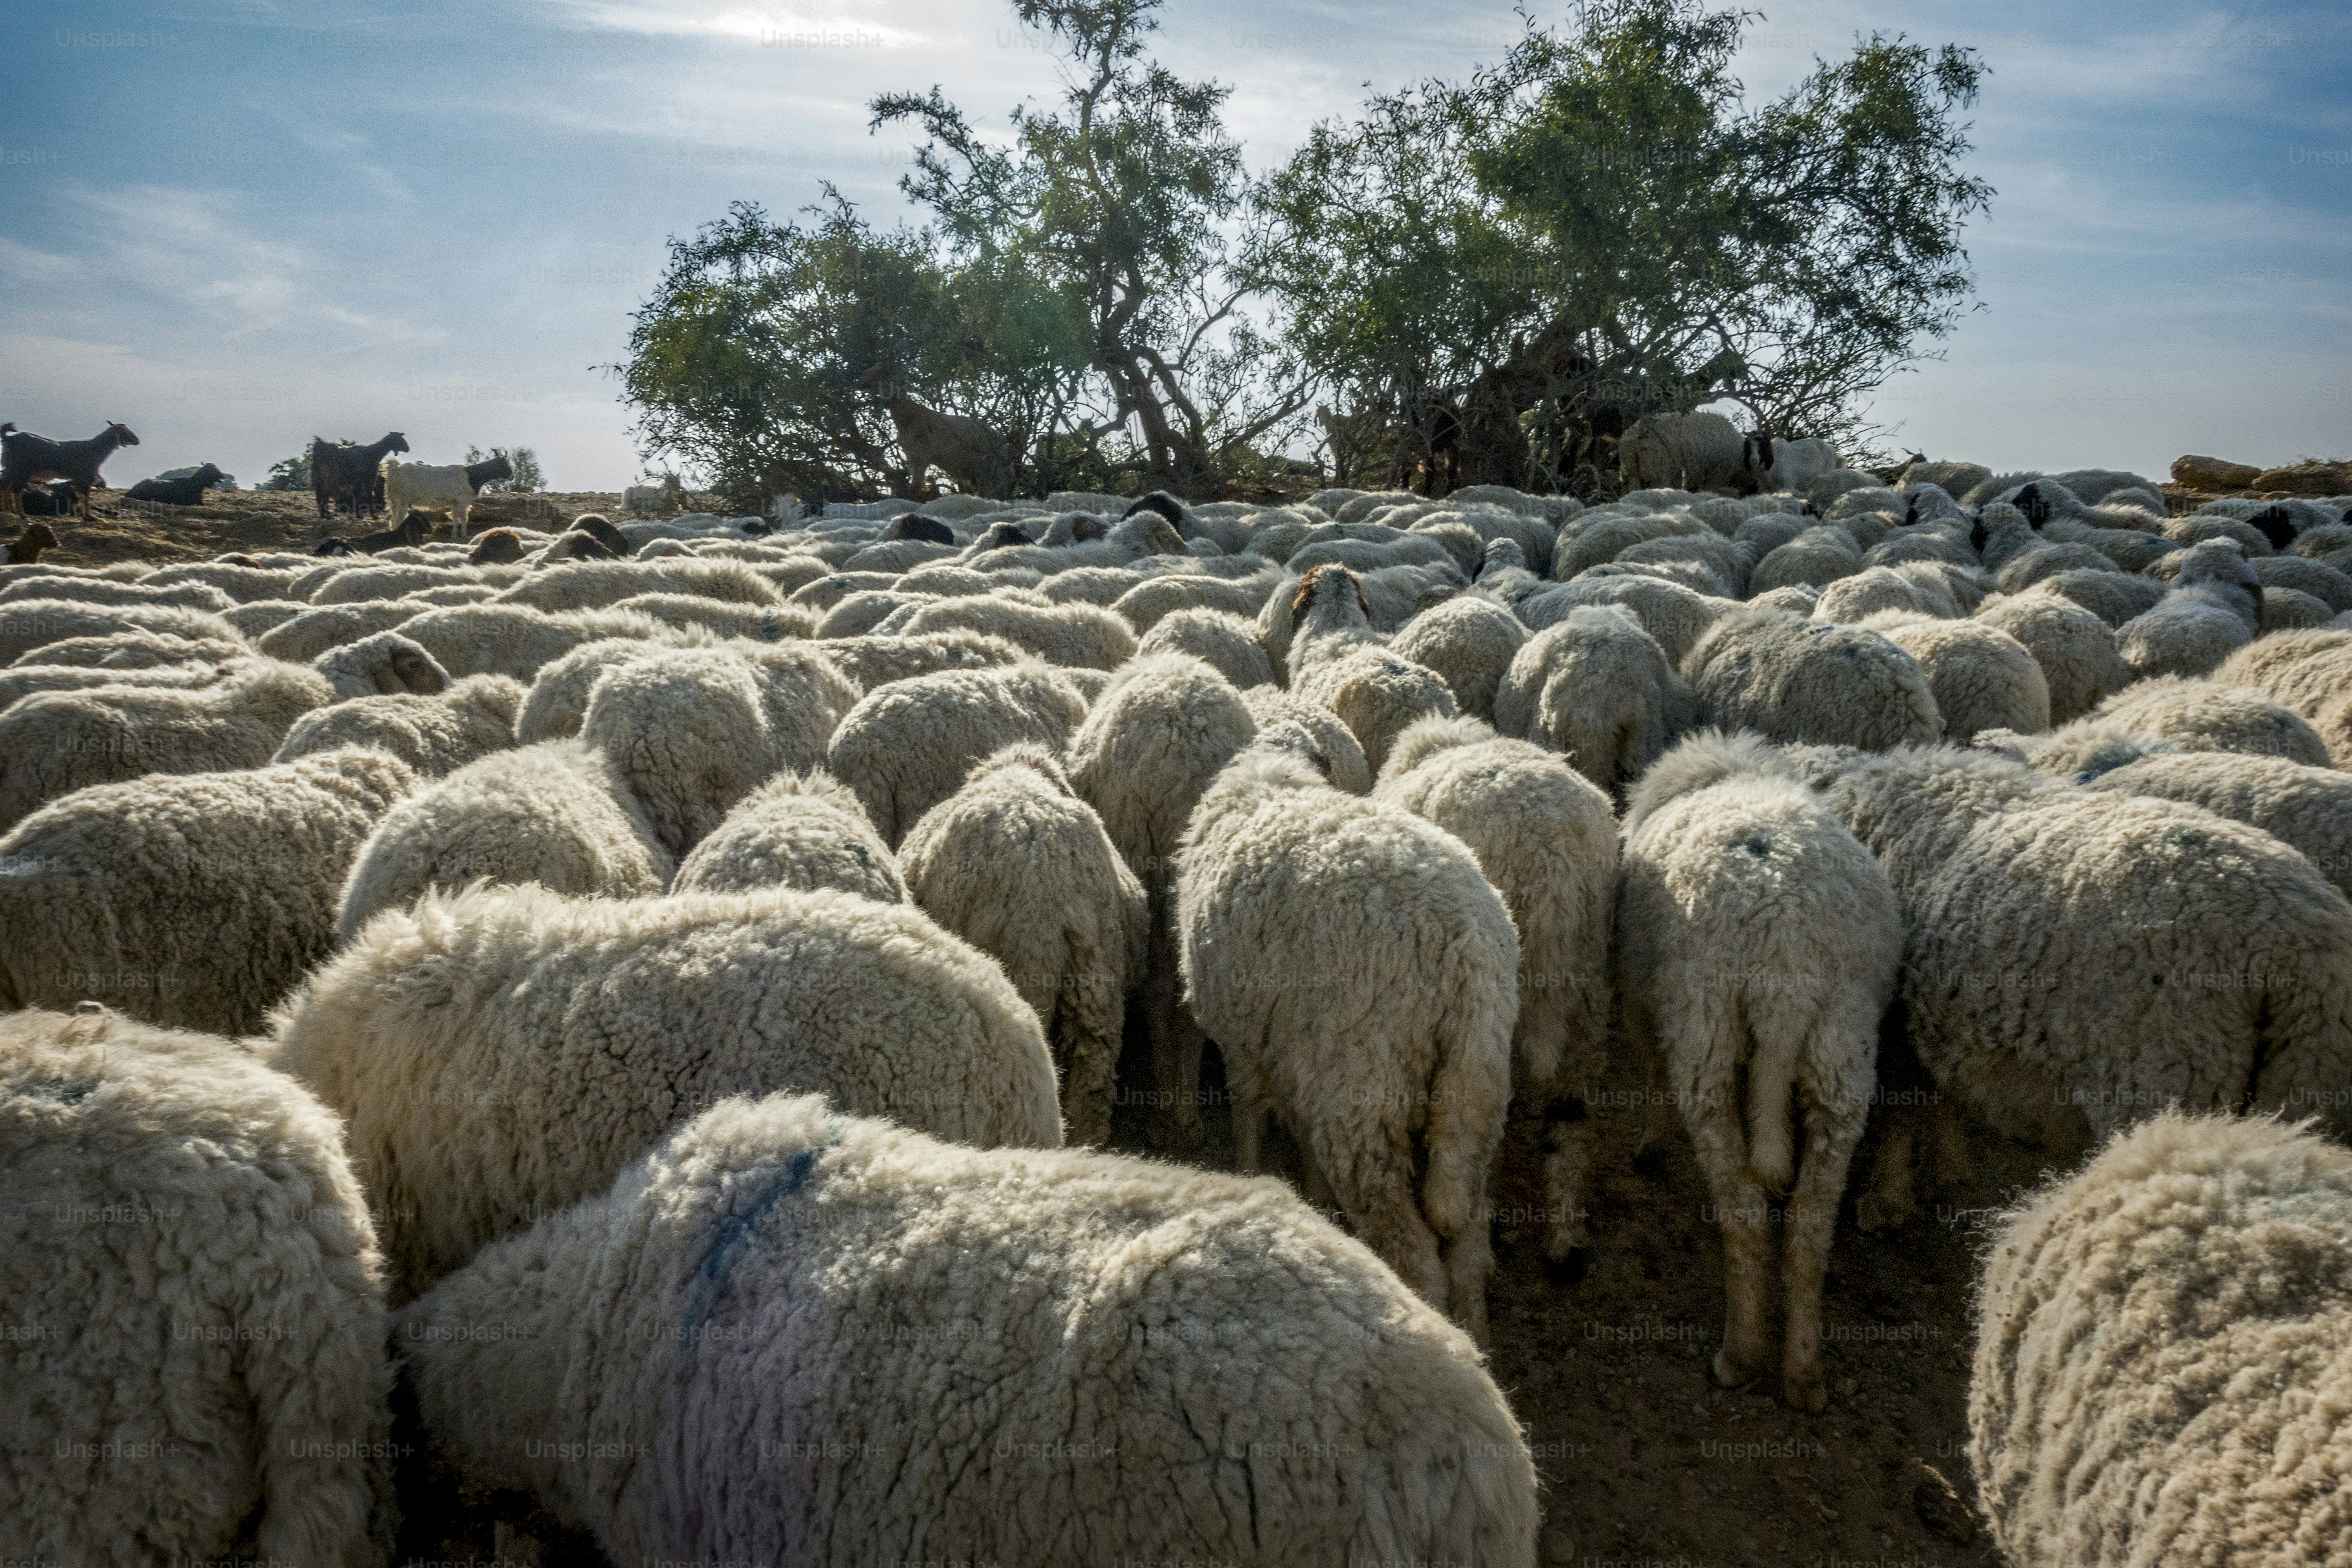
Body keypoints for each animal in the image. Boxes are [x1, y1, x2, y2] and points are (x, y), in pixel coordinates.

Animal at [1176, 724, 1517, 1341]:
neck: (1273, 775)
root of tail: (1464, 950)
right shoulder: (1295, 1057)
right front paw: (1314, 1202)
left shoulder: (1243, 1038)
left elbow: (1247, 1114)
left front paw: (1253, 1175)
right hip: (1474, 1093)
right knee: (1467, 1246)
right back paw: (1477, 1338)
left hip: (1364, 1094)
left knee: (1415, 1255)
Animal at [1617, 731, 1900, 1411]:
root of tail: (1784, 954)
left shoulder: (1639, 1001)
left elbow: (1650, 1073)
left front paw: (1649, 1145)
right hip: (1840, 1048)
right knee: (1810, 1225)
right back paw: (1804, 1374)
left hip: (1708, 1035)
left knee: (1744, 1207)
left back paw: (1739, 1356)